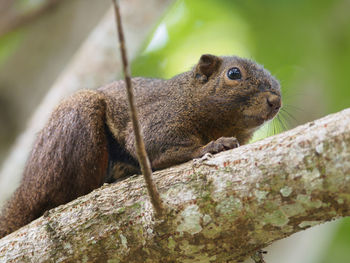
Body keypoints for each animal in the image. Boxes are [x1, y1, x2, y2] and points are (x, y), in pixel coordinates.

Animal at [0, 54, 280, 239]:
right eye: (234, 74)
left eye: (277, 84)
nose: (275, 101)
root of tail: (24, 192)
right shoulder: (158, 121)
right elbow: (157, 148)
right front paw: (210, 146)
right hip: (74, 122)